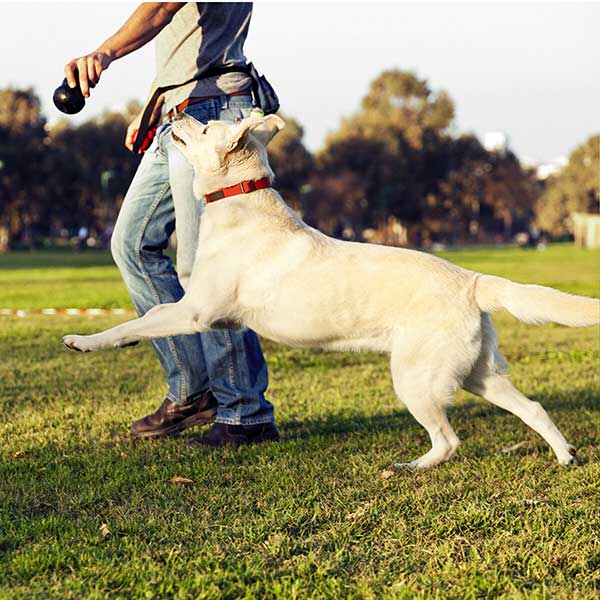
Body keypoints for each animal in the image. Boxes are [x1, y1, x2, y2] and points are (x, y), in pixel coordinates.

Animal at [63, 112, 596, 468]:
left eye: (207, 126)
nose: (176, 111)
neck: (240, 202)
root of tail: (472, 280)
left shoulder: (196, 311)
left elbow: (139, 322)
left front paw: (85, 341)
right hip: (478, 374)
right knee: (532, 407)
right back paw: (565, 455)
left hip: (416, 378)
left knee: (448, 441)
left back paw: (412, 467)